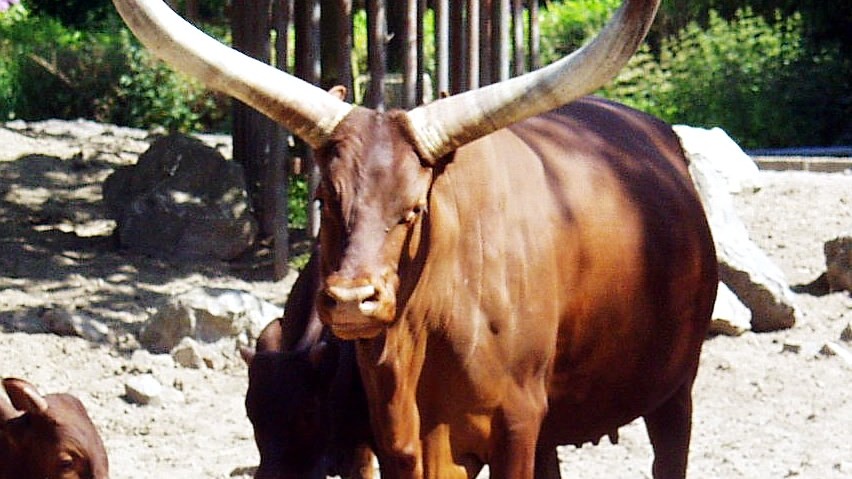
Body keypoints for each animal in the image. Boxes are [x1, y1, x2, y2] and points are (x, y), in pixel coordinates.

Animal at [113, 0, 720, 479]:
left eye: (415, 207)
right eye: (325, 196)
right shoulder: (397, 440)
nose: (352, 300)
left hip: (675, 390)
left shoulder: (516, 424)